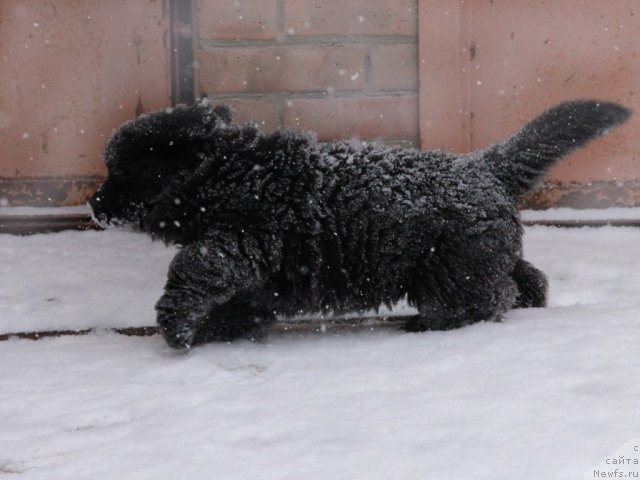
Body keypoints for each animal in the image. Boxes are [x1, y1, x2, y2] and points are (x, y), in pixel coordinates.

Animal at [90, 99, 632, 348]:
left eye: (119, 172)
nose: (94, 205)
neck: (226, 172)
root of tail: (480, 165)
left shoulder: (243, 240)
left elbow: (194, 266)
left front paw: (178, 325)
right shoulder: (259, 275)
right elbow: (236, 301)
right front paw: (210, 329)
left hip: (452, 269)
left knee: (487, 297)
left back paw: (429, 326)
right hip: (484, 252)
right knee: (527, 279)